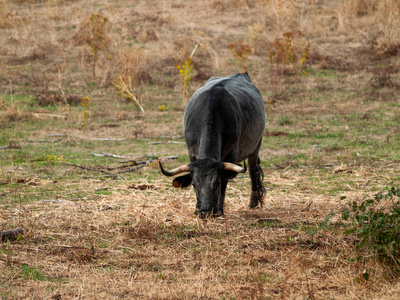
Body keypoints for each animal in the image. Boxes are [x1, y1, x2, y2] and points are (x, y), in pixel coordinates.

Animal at [159, 72, 266, 218]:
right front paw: (197, 209)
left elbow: (225, 182)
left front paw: (219, 210)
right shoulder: (192, 152)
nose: (205, 211)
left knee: (253, 170)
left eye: (216, 183)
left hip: (256, 145)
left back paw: (253, 203)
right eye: (194, 184)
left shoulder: (231, 155)